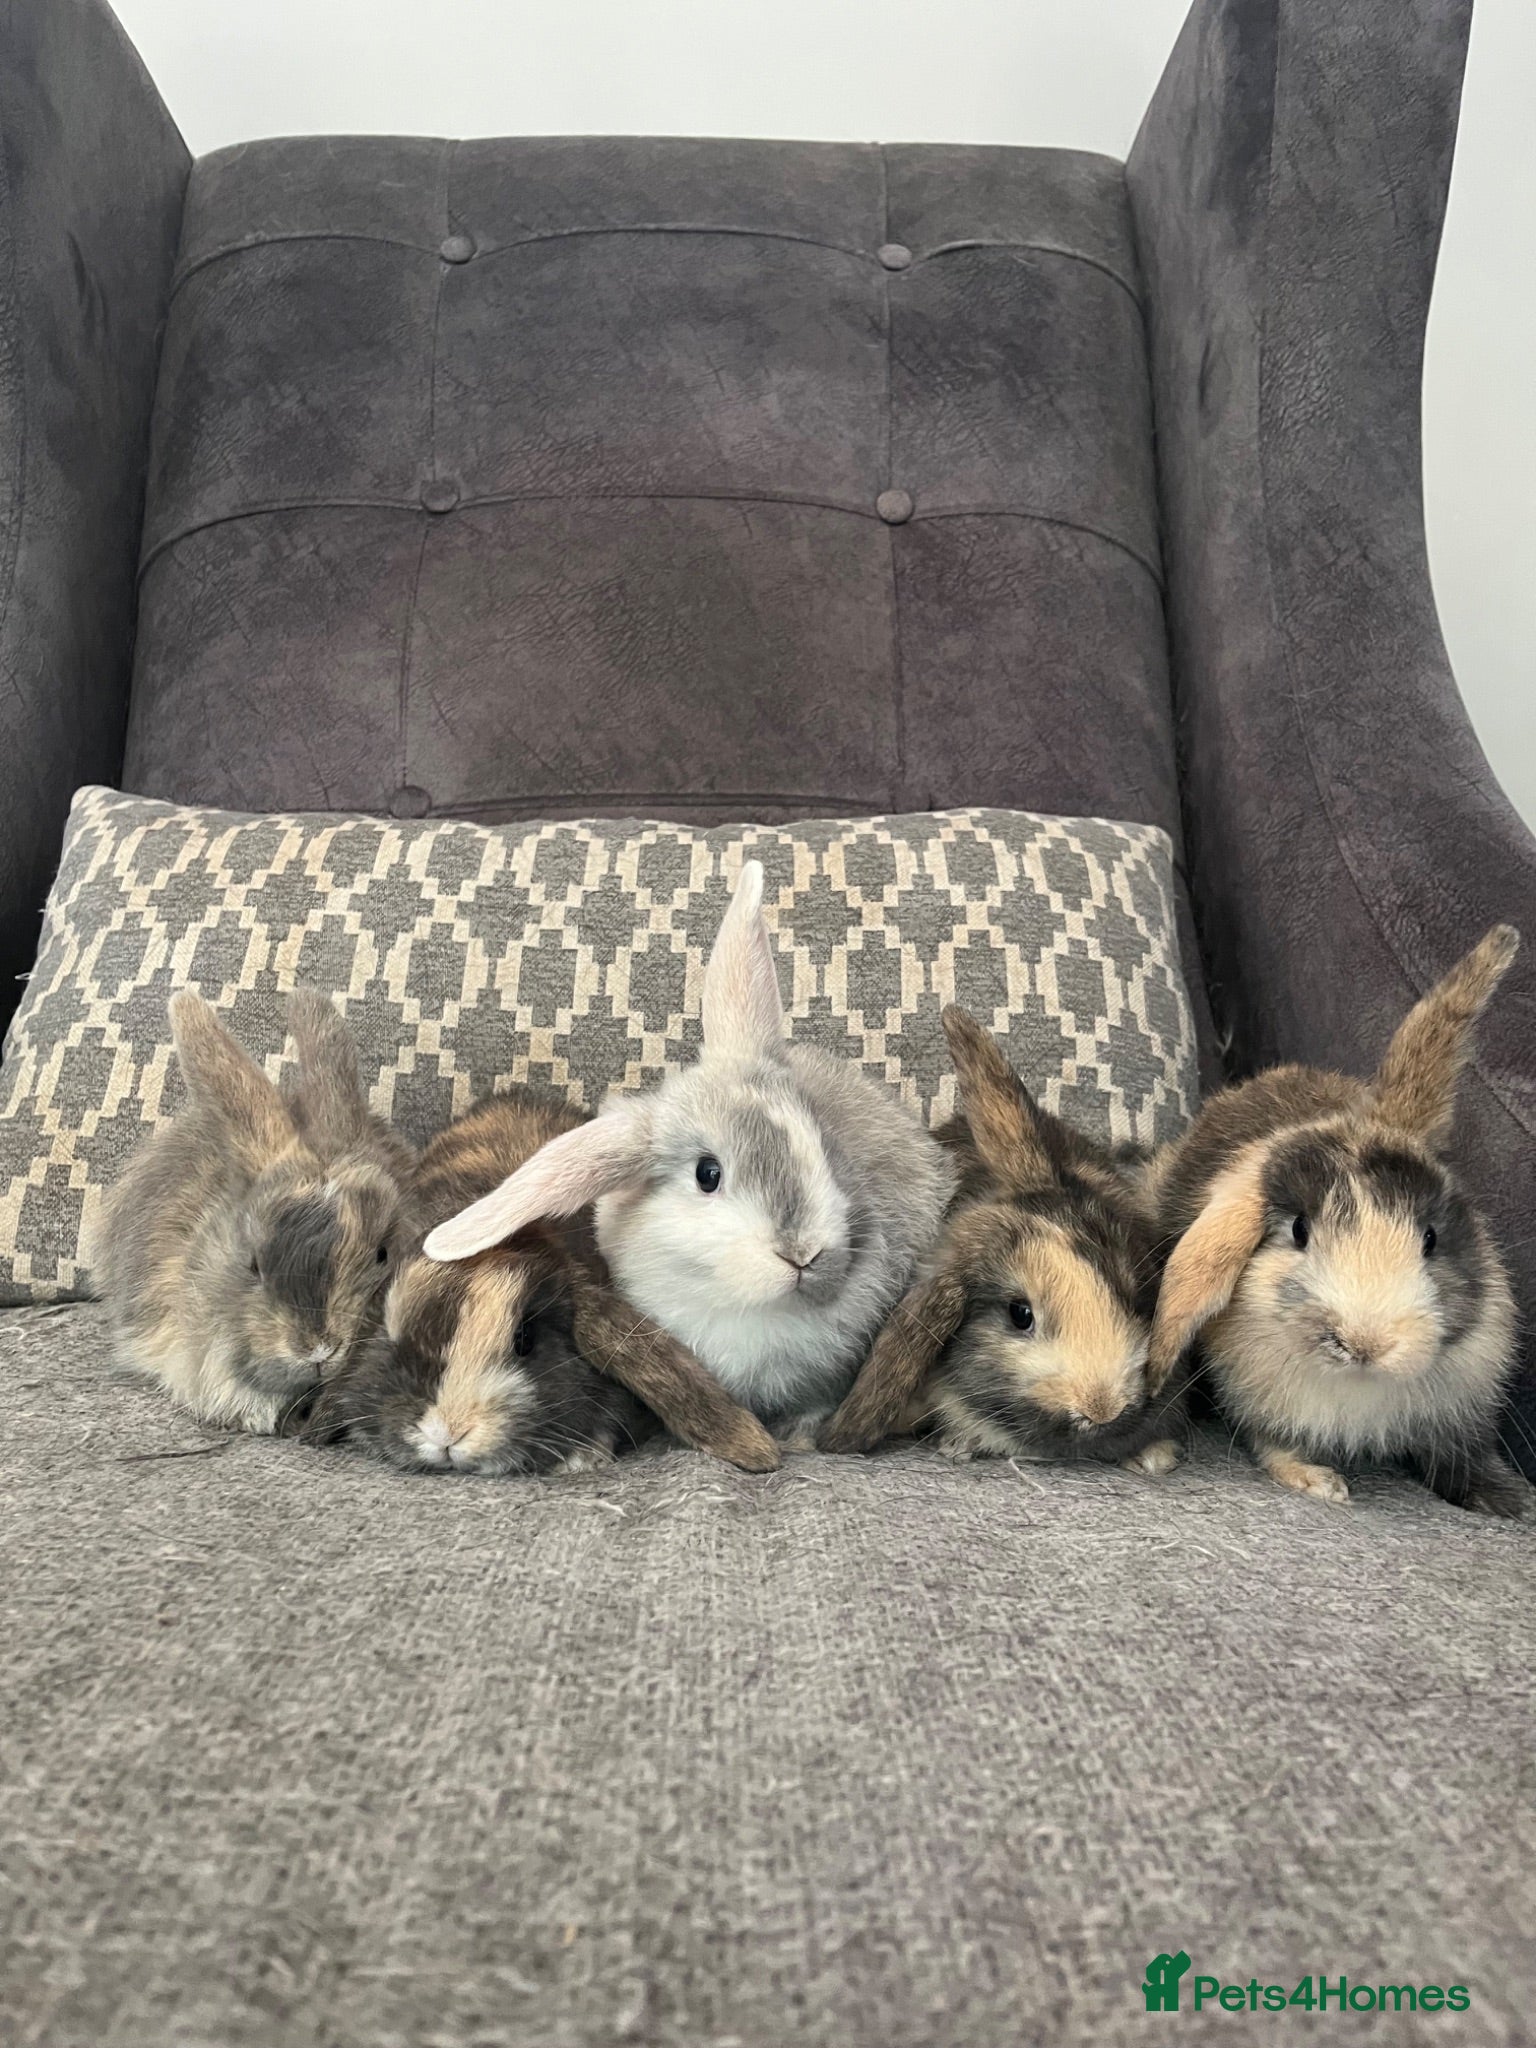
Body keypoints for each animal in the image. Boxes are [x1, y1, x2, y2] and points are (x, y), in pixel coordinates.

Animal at [1142, 925, 1528, 1515]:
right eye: (1300, 1231)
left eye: (1431, 1238)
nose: (1365, 1343)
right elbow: (1273, 1445)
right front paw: (1320, 1483)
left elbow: (1461, 1455)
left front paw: (1507, 1500)